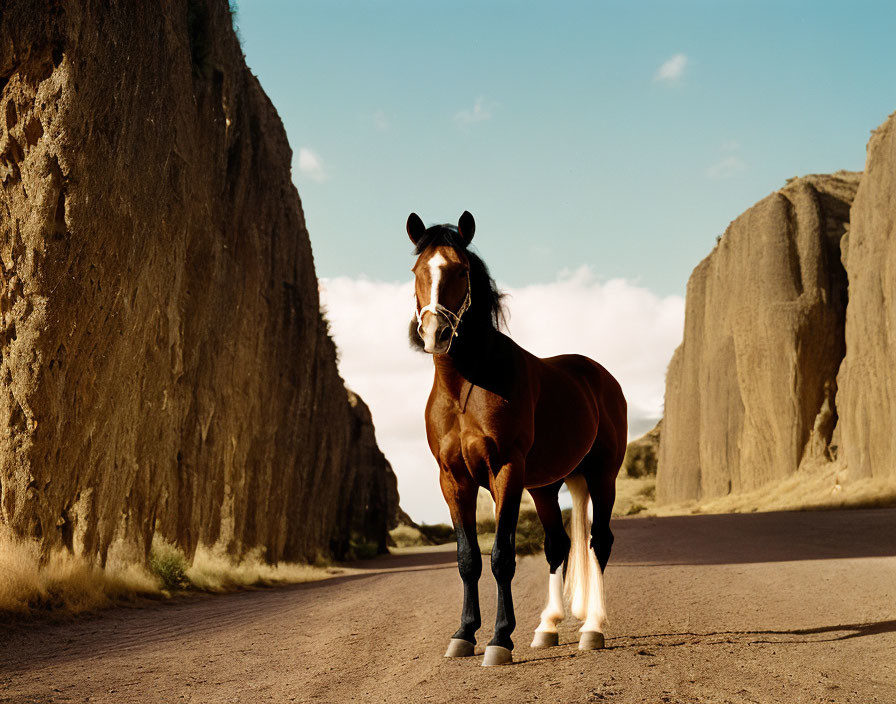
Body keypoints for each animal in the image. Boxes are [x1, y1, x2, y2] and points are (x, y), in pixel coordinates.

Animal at [408, 209, 628, 664]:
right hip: (546, 486)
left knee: (599, 541)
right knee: (558, 545)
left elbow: (501, 556)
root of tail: (601, 377)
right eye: (418, 270)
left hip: (602, 476)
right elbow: (468, 558)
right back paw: (548, 627)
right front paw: (463, 634)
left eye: (461, 269)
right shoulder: (452, 479)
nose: (436, 335)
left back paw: (592, 628)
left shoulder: (505, 471)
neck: (467, 386)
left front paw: (499, 640)